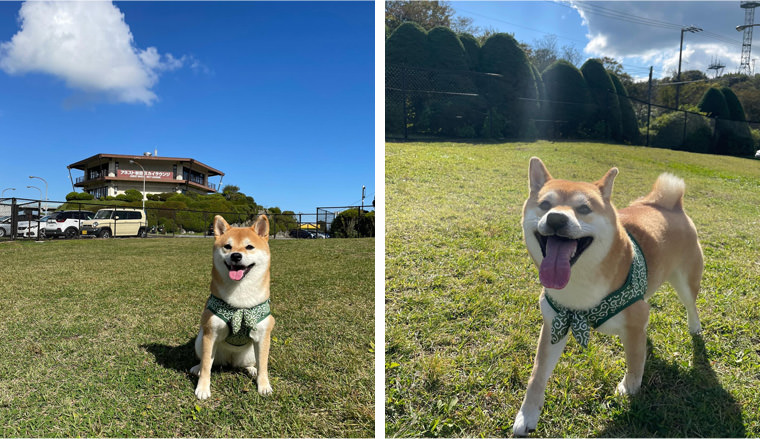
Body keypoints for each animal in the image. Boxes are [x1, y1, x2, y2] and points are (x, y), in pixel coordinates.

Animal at [190, 215, 276, 400]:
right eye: (227, 246)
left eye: (249, 247)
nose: (236, 256)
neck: (240, 302)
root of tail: (230, 360)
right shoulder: (210, 333)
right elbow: (207, 365)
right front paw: (202, 388)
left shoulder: (263, 335)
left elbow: (263, 365)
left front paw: (263, 385)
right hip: (200, 340)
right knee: (205, 362)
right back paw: (196, 368)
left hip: (250, 352)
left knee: (251, 363)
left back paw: (251, 369)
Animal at [512, 158, 704, 436]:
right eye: (545, 205)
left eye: (584, 208)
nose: (556, 218)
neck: (580, 283)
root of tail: (672, 205)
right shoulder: (555, 323)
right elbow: (537, 375)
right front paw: (527, 415)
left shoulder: (635, 320)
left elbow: (634, 361)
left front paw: (629, 389)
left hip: (686, 280)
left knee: (691, 305)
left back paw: (695, 327)